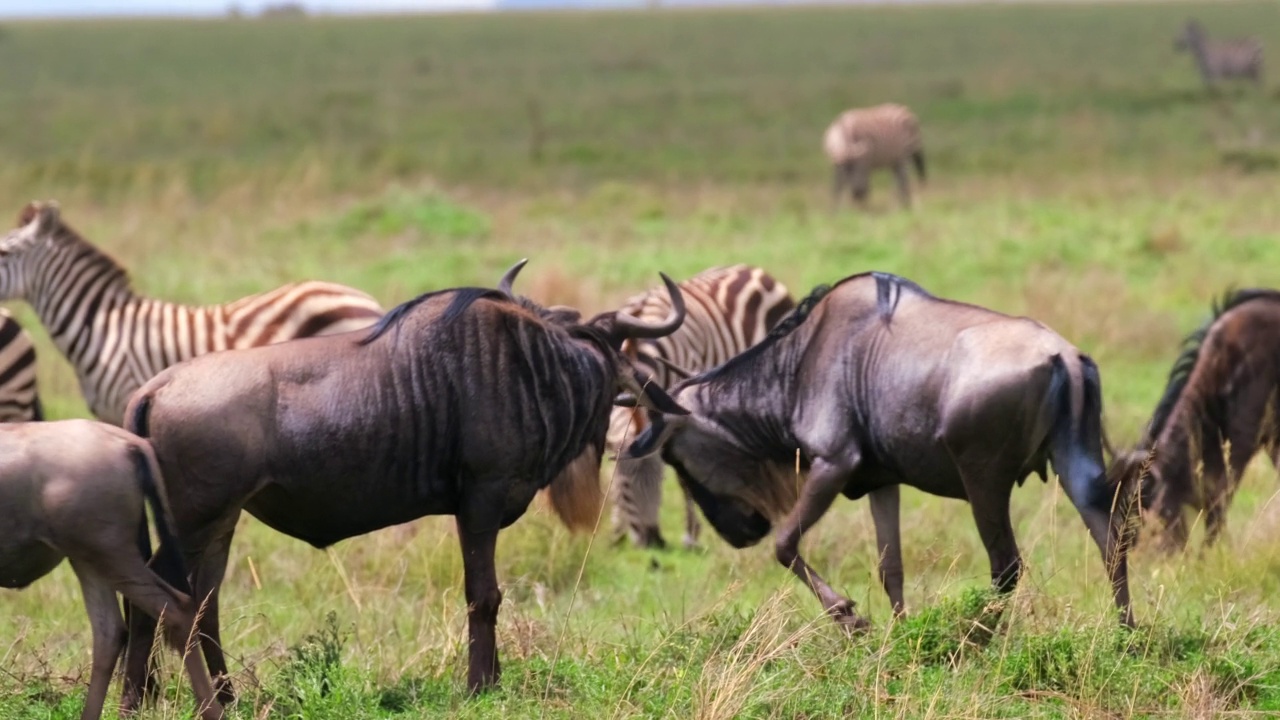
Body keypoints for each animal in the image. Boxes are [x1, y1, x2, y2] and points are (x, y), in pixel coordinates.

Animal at [606, 263, 793, 543]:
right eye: (625, 486)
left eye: (660, 481)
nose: (653, 541)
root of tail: (752, 268)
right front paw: (616, 532)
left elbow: (686, 479)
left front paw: (690, 536)